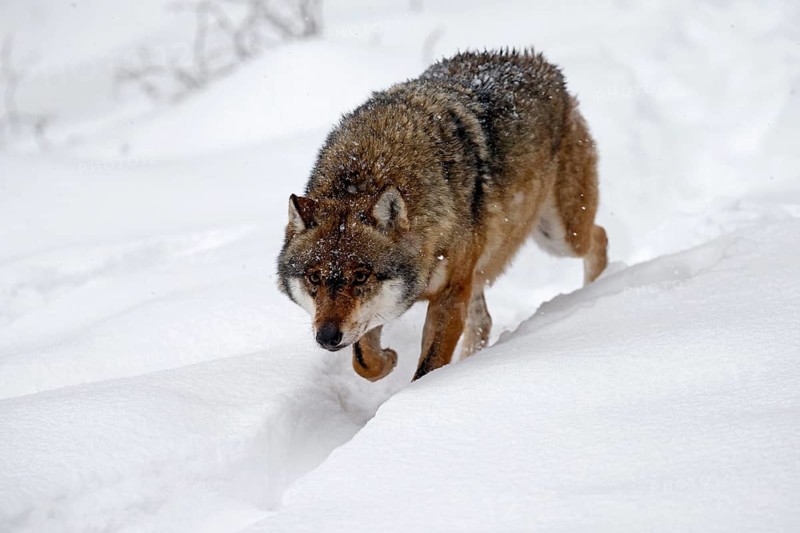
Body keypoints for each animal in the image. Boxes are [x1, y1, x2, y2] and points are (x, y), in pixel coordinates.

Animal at [277, 49, 607, 381]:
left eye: (360, 276)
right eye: (314, 277)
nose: (326, 337)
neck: (371, 168)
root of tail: (539, 62)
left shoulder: (450, 293)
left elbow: (428, 366)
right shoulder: (384, 308)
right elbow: (364, 362)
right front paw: (388, 359)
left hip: (561, 237)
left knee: (600, 236)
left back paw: (596, 290)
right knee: (483, 321)